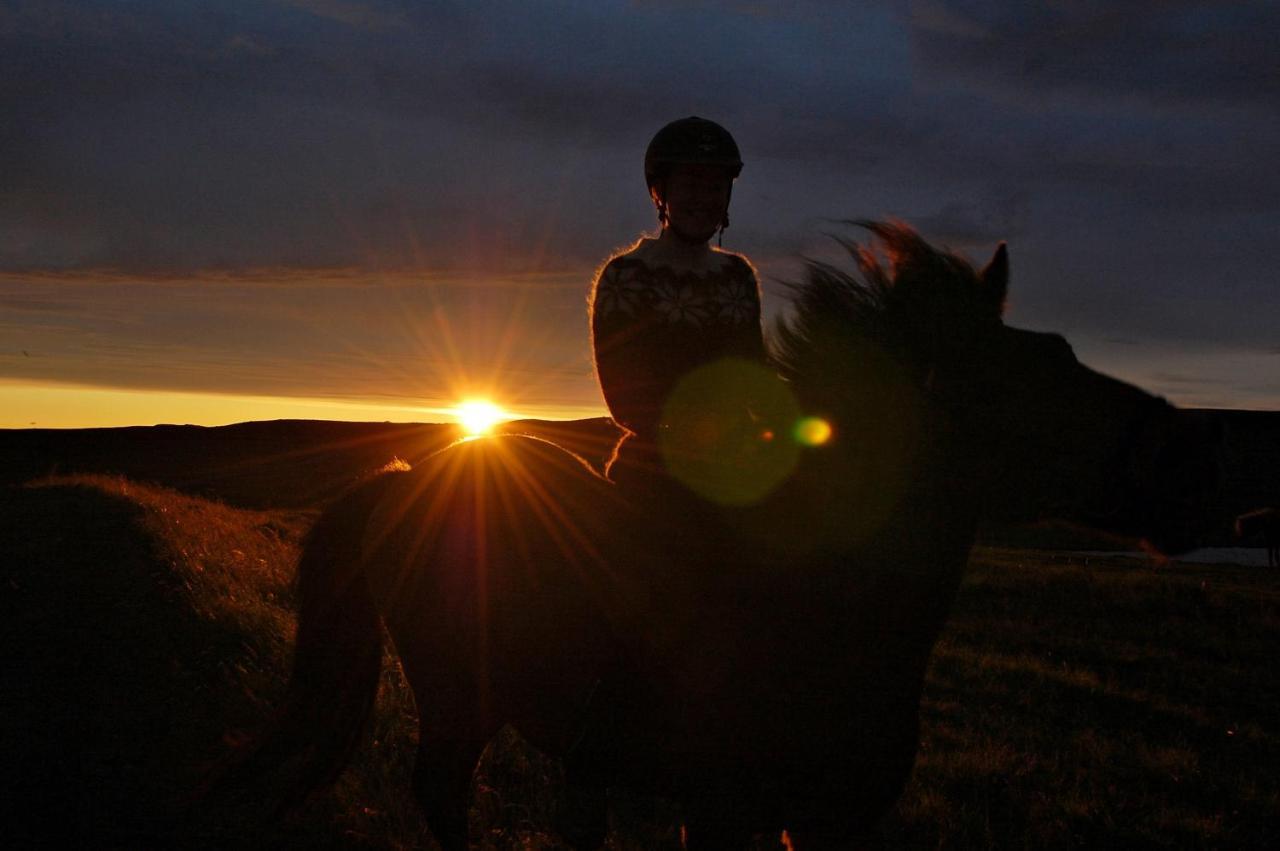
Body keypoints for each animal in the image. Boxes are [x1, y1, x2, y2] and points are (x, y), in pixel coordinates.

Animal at [220, 222, 1218, 844]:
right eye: (1037, 378)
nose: (1194, 467)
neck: (828, 610)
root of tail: (401, 480)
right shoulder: (723, 806)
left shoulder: (821, 822)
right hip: (460, 697)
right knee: (442, 795)